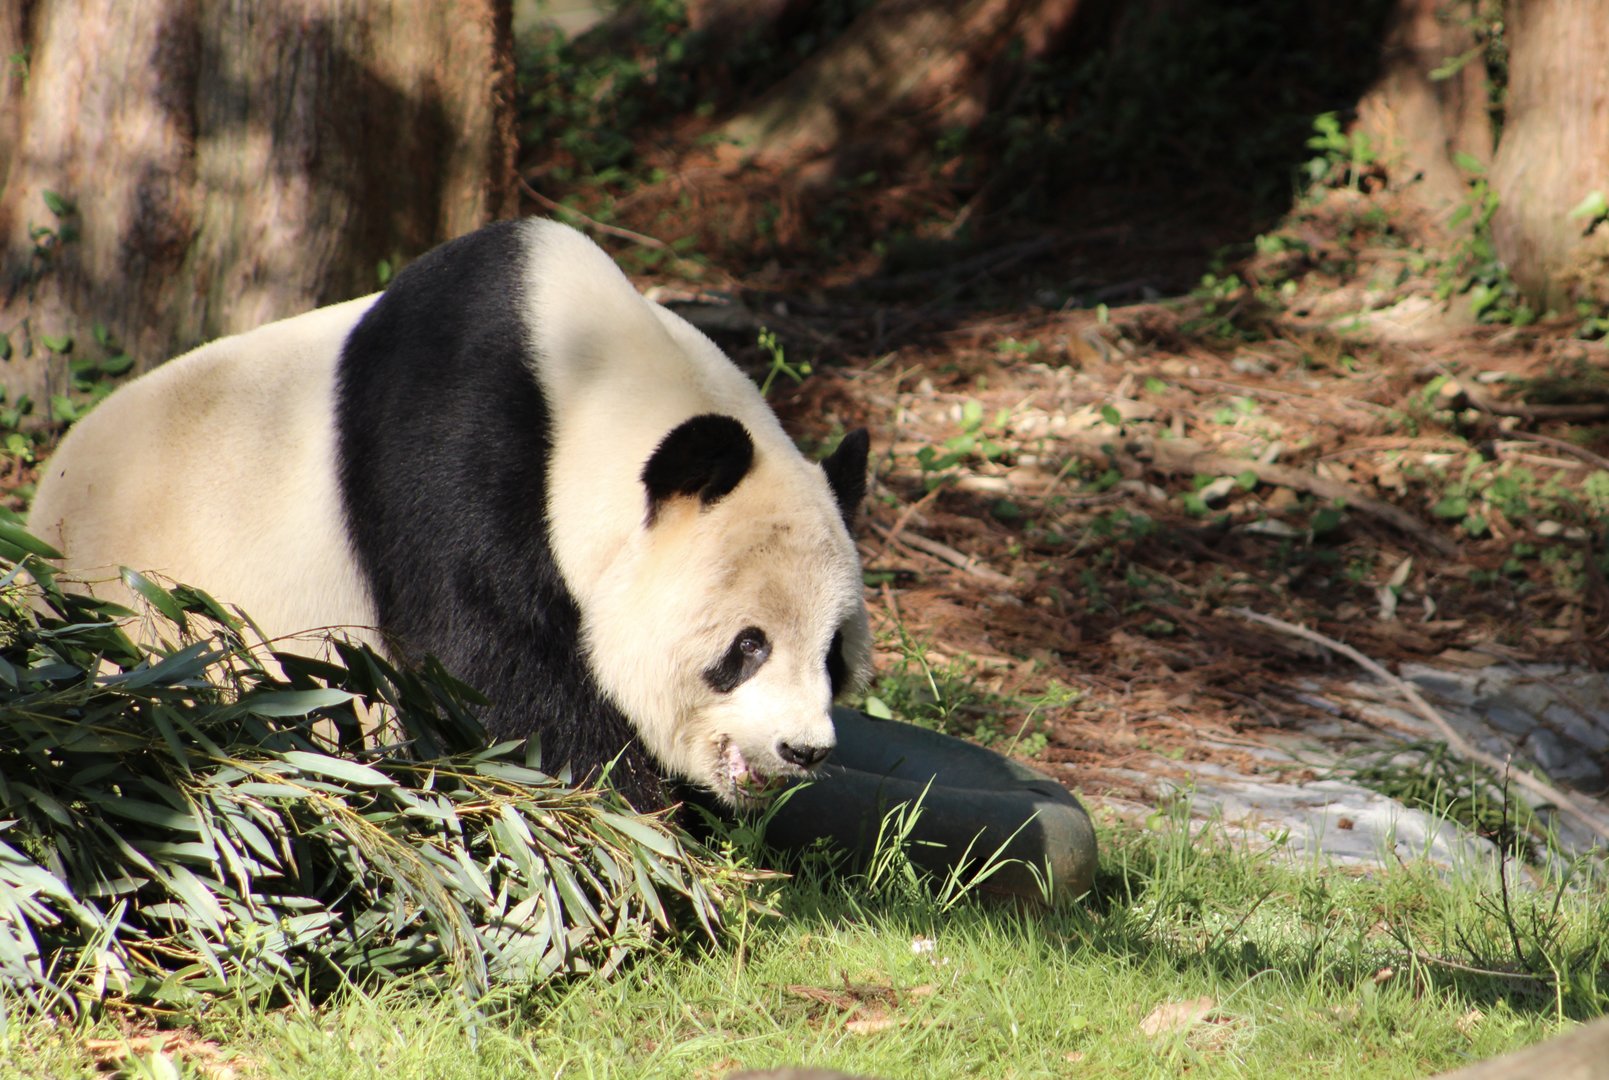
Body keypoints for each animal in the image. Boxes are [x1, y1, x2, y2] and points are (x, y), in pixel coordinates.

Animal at [27, 218, 873, 812]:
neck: (591, 378)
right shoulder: (449, 447)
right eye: (748, 645)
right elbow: (488, 661)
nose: (803, 750)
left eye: (833, 653)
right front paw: (631, 816)